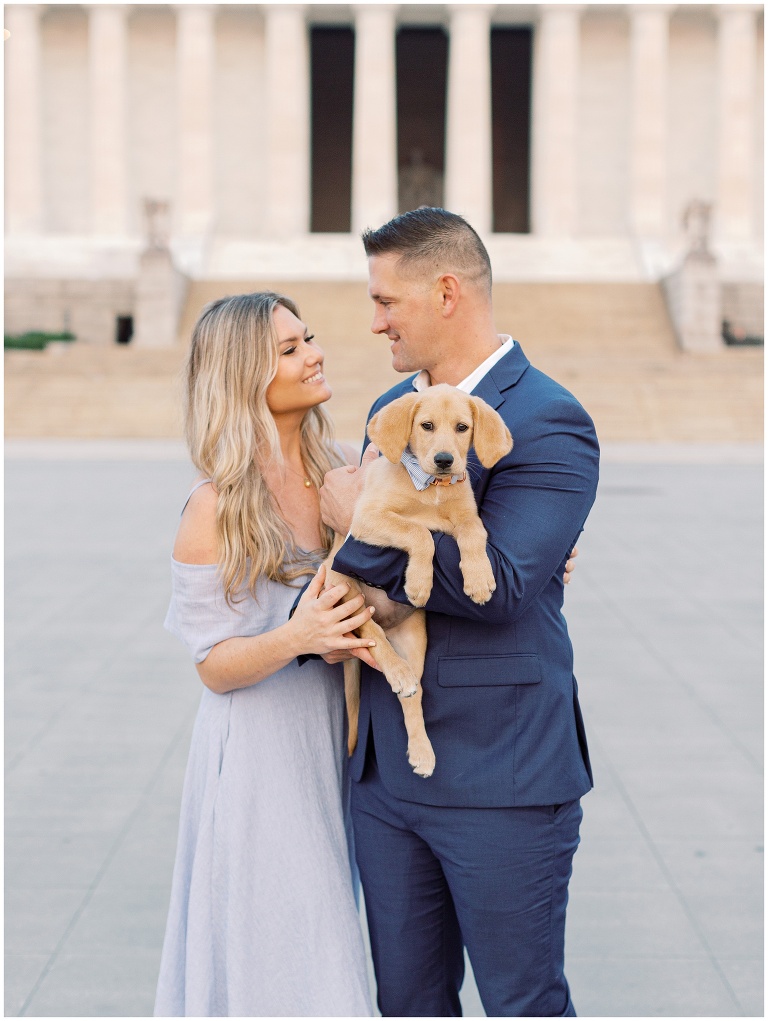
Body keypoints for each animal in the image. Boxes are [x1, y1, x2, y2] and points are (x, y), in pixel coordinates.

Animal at [322, 385, 510, 775]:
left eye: (462, 427)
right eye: (426, 426)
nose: (445, 460)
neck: (432, 488)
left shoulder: (466, 515)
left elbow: (474, 533)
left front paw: (479, 578)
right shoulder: (366, 520)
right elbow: (419, 532)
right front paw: (419, 583)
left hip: (415, 642)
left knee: (415, 695)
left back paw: (421, 750)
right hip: (344, 587)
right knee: (372, 637)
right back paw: (396, 672)